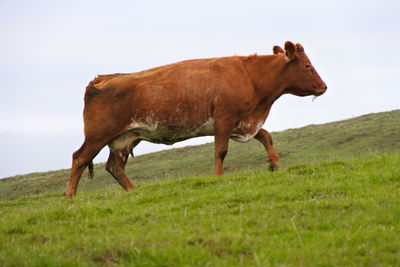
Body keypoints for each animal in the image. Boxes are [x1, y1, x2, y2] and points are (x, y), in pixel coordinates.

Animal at [64, 41, 326, 197]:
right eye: (307, 66)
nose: (323, 86)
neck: (251, 78)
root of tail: (102, 78)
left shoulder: (242, 120)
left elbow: (266, 136)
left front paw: (273, 162)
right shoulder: (225, 117)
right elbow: (221, 150)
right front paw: (218, 177)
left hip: (126, 137)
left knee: (115, 166)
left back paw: (134, 190)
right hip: (98, 135)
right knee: (79, 158)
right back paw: (69, 195)